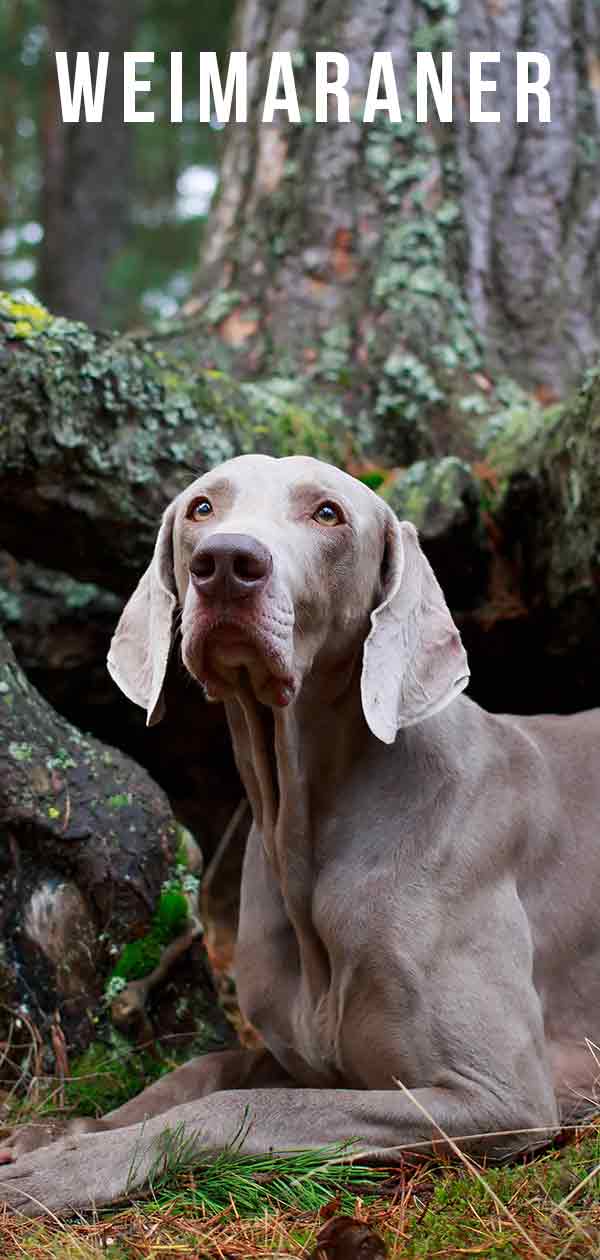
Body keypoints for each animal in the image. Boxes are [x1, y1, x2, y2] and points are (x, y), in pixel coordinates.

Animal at [1, 453, 600, 1209]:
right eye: (202, 507)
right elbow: (205, 1066)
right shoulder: (303, 1050)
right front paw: (69, 1130)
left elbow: (240, 1105)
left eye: (327, 513)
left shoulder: (500, 1094)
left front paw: (71, 1166)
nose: (227, 563)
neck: (309, 826)